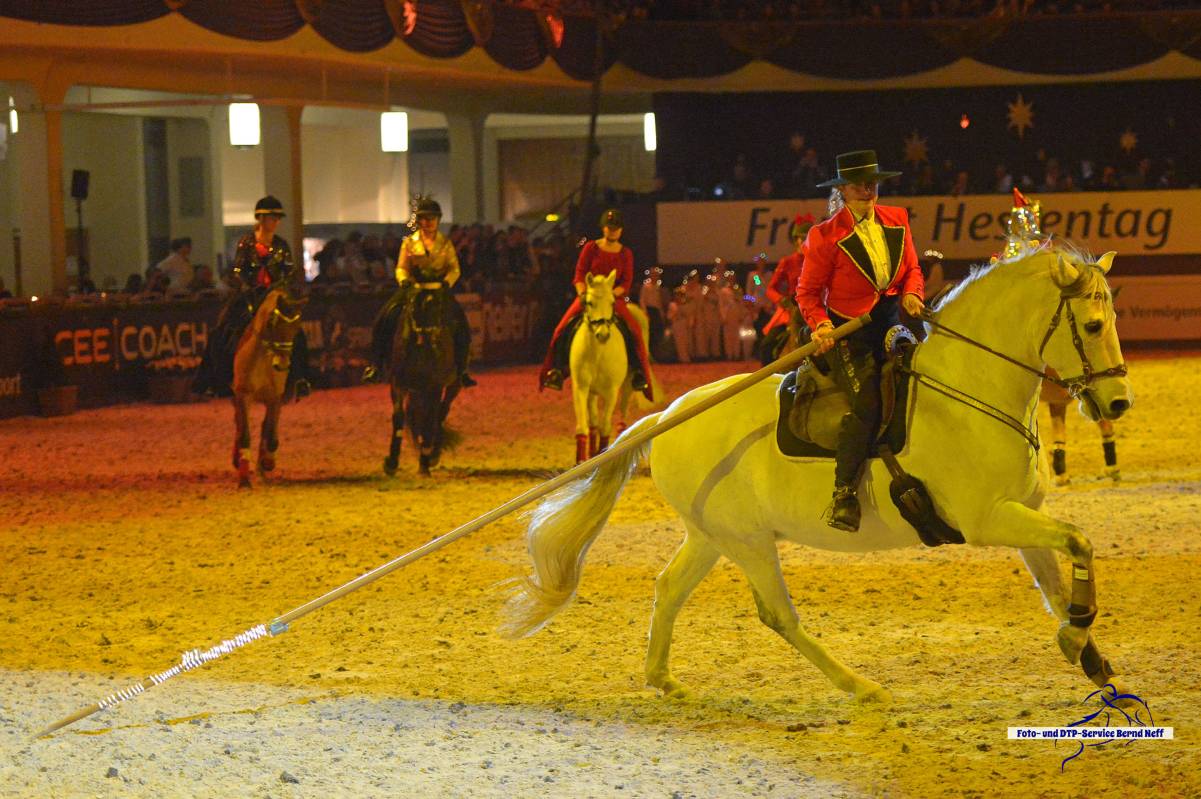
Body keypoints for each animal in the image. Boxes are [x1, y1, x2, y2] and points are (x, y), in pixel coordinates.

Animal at [229, 287, 305, 485]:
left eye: (296, 328)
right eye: (272, 323)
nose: (282, 365)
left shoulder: (275, 398)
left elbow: (270, 434)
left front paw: (268, 463)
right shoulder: (243, 394)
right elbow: (244, 434)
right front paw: (244, 480)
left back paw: (262, 470)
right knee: (239, 425)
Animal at [384, 283, 458, 475]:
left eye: (439, 307)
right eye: (413, 306)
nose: (431, 340)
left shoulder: (434, 386)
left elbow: (429, 420)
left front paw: (424, 463)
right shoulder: (398, 384)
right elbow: (399, 417)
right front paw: (392, 462)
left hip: (453, 386)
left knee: (441, 412)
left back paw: (433, 454)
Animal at [569, 271, 662, 463]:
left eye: (612, 302)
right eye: (589, 303)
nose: (603, 334)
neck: (598, 352)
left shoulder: (611, 391)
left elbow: (606, 425)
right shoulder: (580, 388)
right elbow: (583, 425)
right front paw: (581, 460)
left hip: (628, 386)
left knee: (621, 415)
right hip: (592, 392)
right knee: (593, 421)